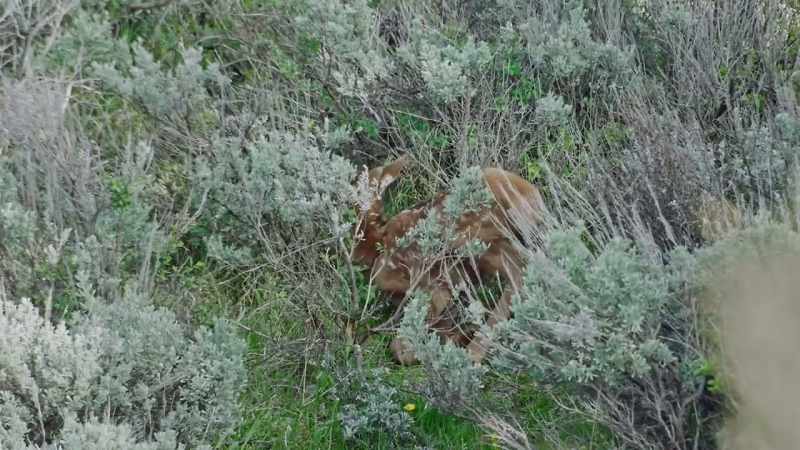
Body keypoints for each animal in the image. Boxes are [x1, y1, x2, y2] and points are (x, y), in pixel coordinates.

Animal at [352, 155, 547, 364]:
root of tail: (532, 195)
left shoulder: (425, 279)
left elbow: (402, 345)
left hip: (472, 239)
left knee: (519, 271)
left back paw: (474, 351)